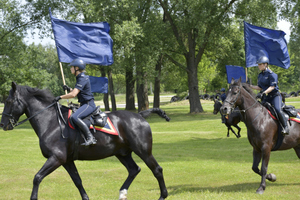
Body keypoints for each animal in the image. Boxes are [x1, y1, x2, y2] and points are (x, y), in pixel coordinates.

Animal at [0, 81, 169, 200]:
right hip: (122, 153)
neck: (51, 122)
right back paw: (122, 193)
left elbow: (37, 178)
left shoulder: (56, 158)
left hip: (143, 151)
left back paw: (162, 196)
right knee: (134, 170)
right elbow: (78, 181)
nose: (2, 124)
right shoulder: (67, 161)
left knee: (157, 170)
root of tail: (139, 115)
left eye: (8, 101)